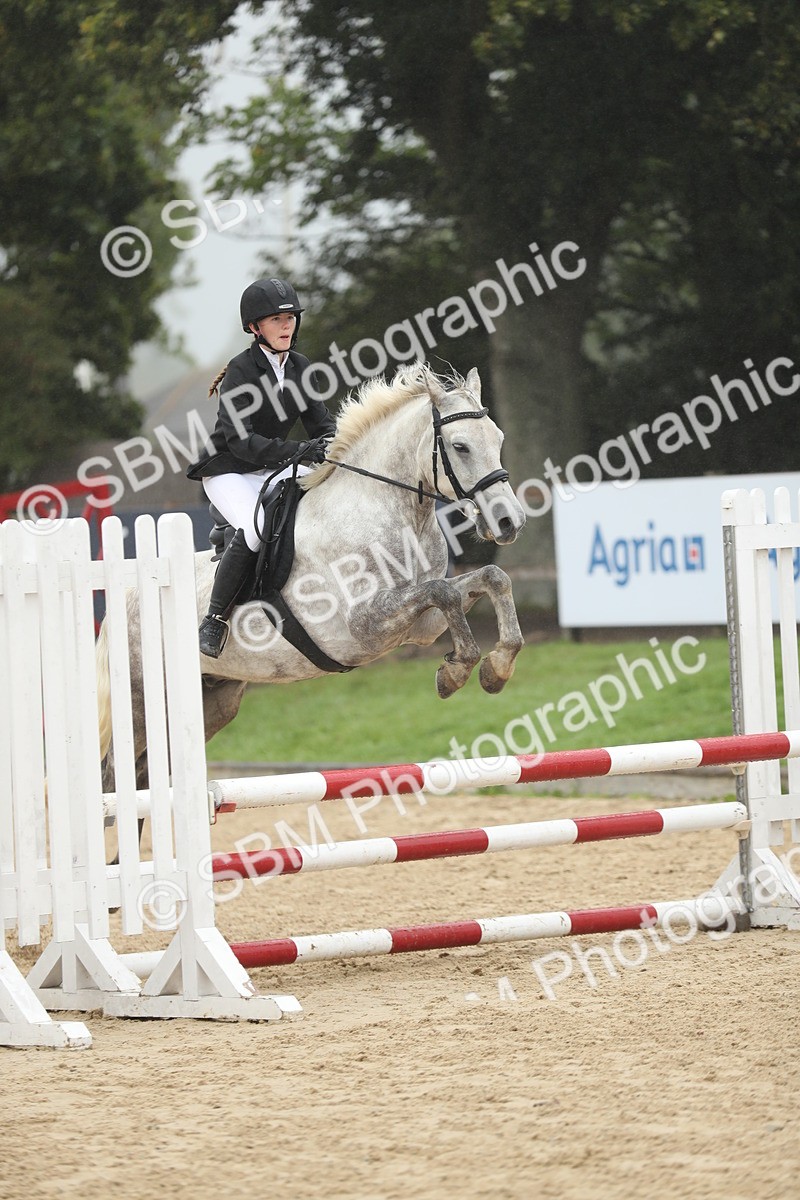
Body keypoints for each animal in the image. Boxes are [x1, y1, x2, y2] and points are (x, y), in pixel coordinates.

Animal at [96, 364, 526, 790]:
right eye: (460, 446)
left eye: (499, 439)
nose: (509, 522)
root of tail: (124, 597)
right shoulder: (365, 625)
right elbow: (443, 591)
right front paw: (457, 671)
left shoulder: (422, 625)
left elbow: (489, 578)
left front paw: (494, 668)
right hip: (141, 702)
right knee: (115, 775)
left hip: (211, 700)